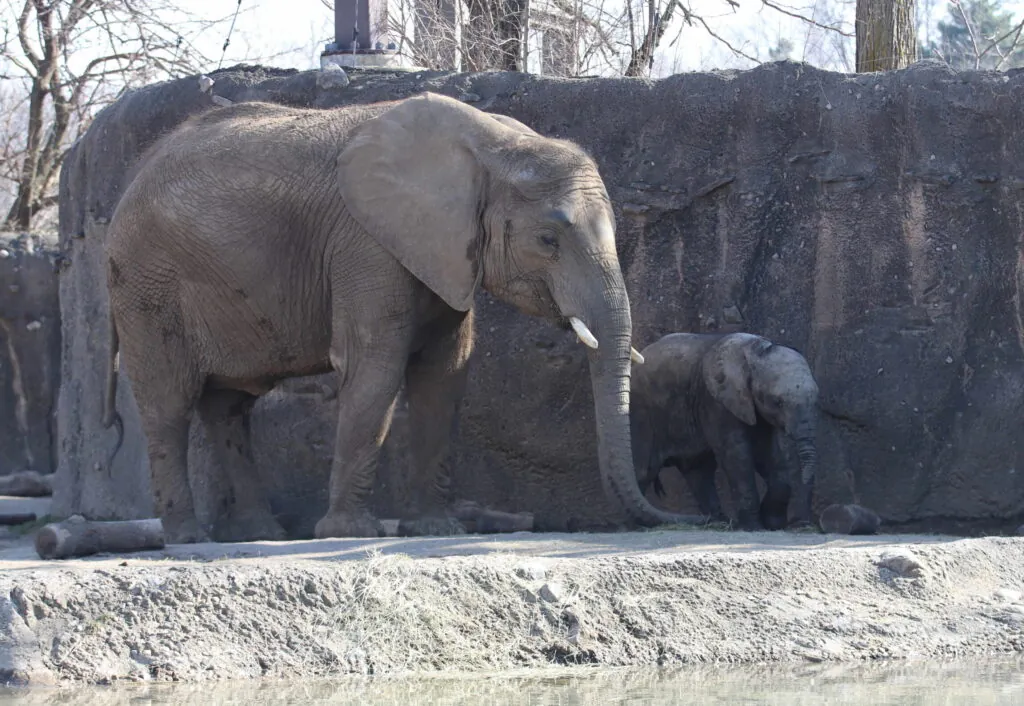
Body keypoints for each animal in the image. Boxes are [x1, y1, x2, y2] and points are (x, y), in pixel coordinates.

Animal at [101, 92, 704, 541]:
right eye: (548, 241)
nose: (686, 511)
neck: (495, 146)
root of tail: (127, 182)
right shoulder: (365, 243)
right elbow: (376, 363)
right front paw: (348, 534)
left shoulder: (443, 250)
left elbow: (445, 371)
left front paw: (437, 530)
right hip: (146, 284)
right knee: (168, 404)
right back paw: (190, 539)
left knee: (229, 408)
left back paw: (258, 534)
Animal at [626, 331, 819, 528]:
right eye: (777, 402)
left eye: (817, 398)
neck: (756, 350)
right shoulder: (717, 402)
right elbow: (737, 454)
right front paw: (753, 526)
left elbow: (767, 454)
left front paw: (772, 524)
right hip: (641, 412)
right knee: (644, 469)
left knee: (699, 472)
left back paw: (718, 521)